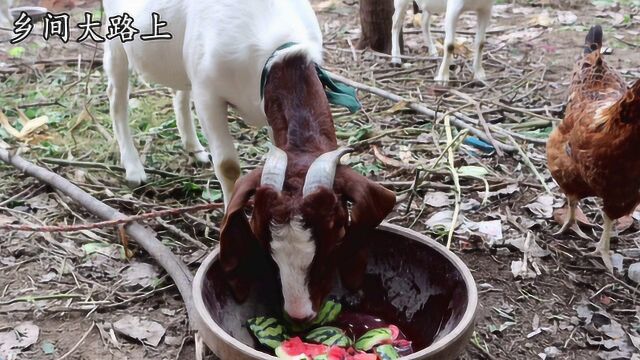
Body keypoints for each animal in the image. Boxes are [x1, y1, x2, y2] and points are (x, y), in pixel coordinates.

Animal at [106, 0, 324, 202]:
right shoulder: (207, 95)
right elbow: (228, 166)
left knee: (179, 91)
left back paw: (194, 149)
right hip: (116, 42)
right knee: (117, 98)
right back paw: (134, 170)